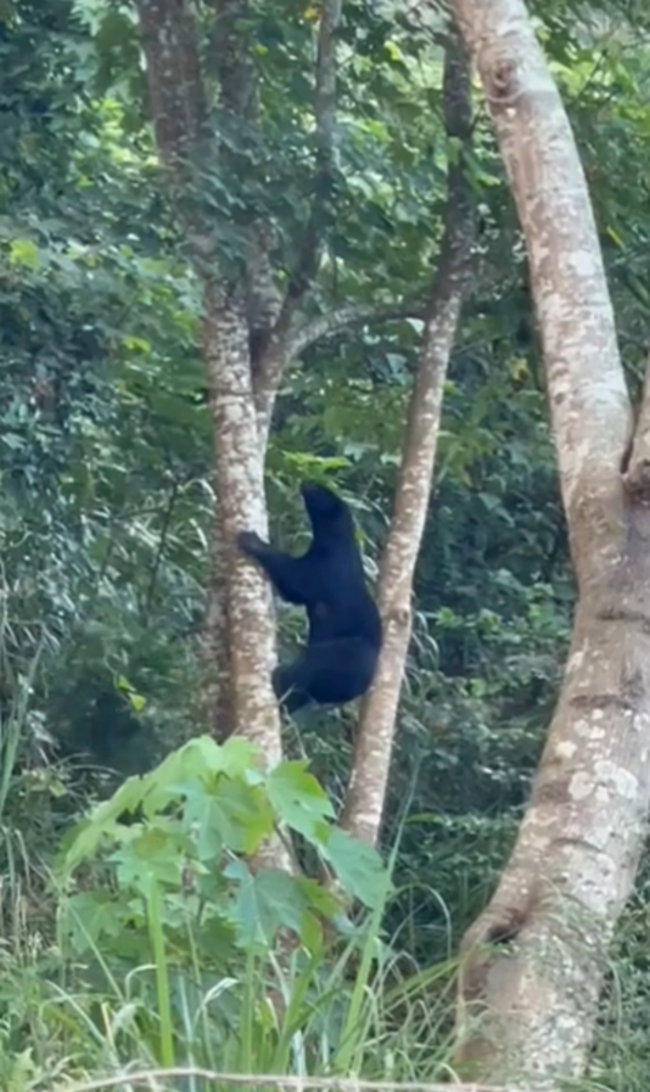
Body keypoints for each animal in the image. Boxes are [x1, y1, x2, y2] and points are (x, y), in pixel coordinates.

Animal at [238, 482, 382, 711]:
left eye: (322, 491)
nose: (305, 483)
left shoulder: (325, 570)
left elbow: (295, 579)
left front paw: (252, 541)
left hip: (350, 654)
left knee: (314, 662)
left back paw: (280, 681)